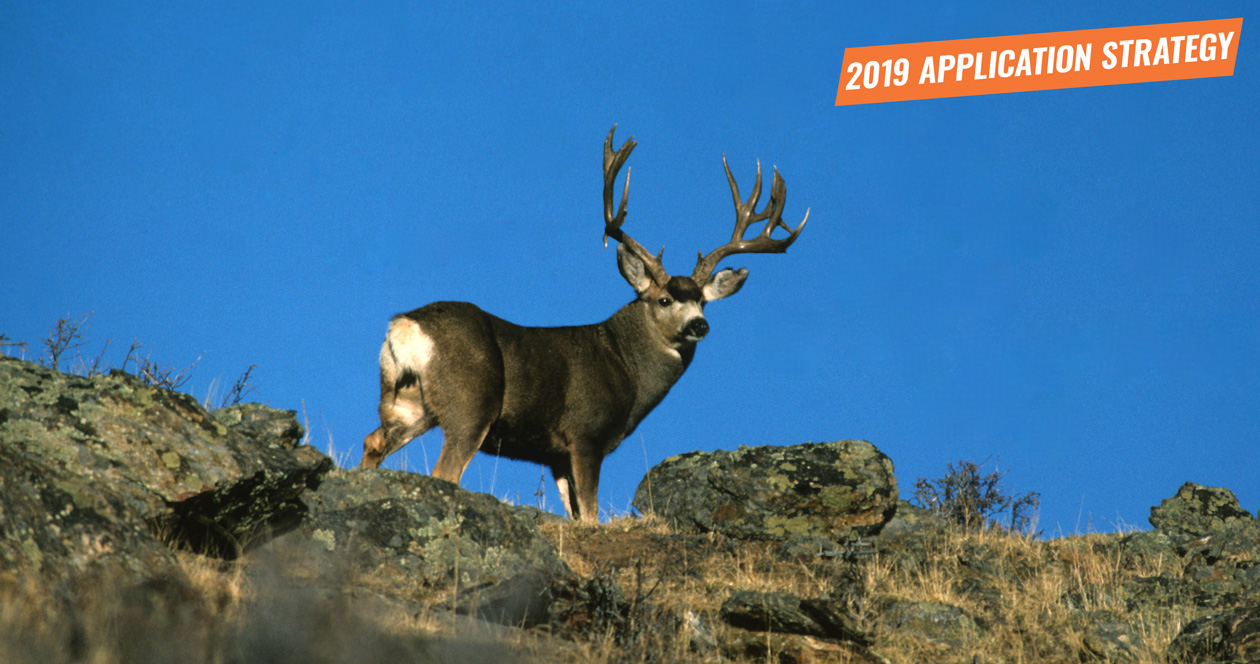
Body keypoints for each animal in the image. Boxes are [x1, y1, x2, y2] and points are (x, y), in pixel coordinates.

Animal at [359, 126, 808, 522]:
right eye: (664, 299)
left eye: (703, 302)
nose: (699, 325)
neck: (625, 366)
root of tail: (405, 325)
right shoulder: (586, 433)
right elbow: (591, 515)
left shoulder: (555, 454)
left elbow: (576, 513)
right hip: (472, 403)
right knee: (445, 472)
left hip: (407, 401)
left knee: (373, 441)